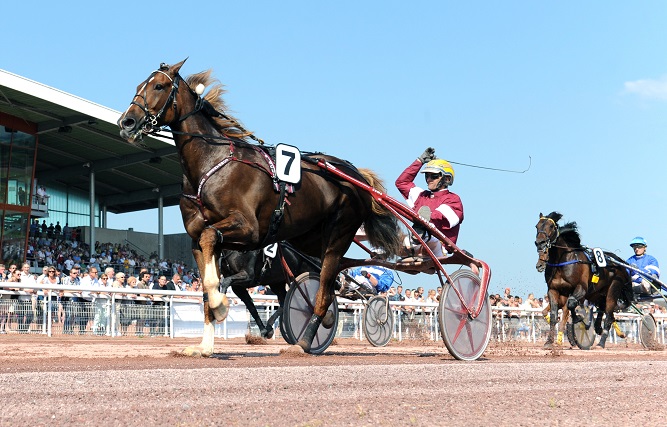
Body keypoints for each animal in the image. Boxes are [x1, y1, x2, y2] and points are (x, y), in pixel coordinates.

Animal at [118, 58, 402, 356]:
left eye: (159, 86)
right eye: (139, 86)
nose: (127, 121)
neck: (212, 163)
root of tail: (356, 176)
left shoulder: (248, 229)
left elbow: (213, 255)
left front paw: (221, 305)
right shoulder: (199, 241)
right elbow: (207, 280)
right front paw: (205, 345)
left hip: (339, 234)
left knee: (324, 288)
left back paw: (305, 340)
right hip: (308, 240)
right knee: (330, 278)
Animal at [536, 212, 636, 350]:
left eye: (551, 226)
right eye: (537, 226)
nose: (540, 242)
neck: (563, 262)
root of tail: (619, 264)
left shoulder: (581, 288)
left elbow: (571, 303)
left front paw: (579, 318)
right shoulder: (553, 290)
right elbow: (554, 314)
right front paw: (549, 342)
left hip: (613, 290)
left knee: (608, 315)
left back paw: (601, 343)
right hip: (598, 294)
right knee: (604, 311)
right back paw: (602, 329)